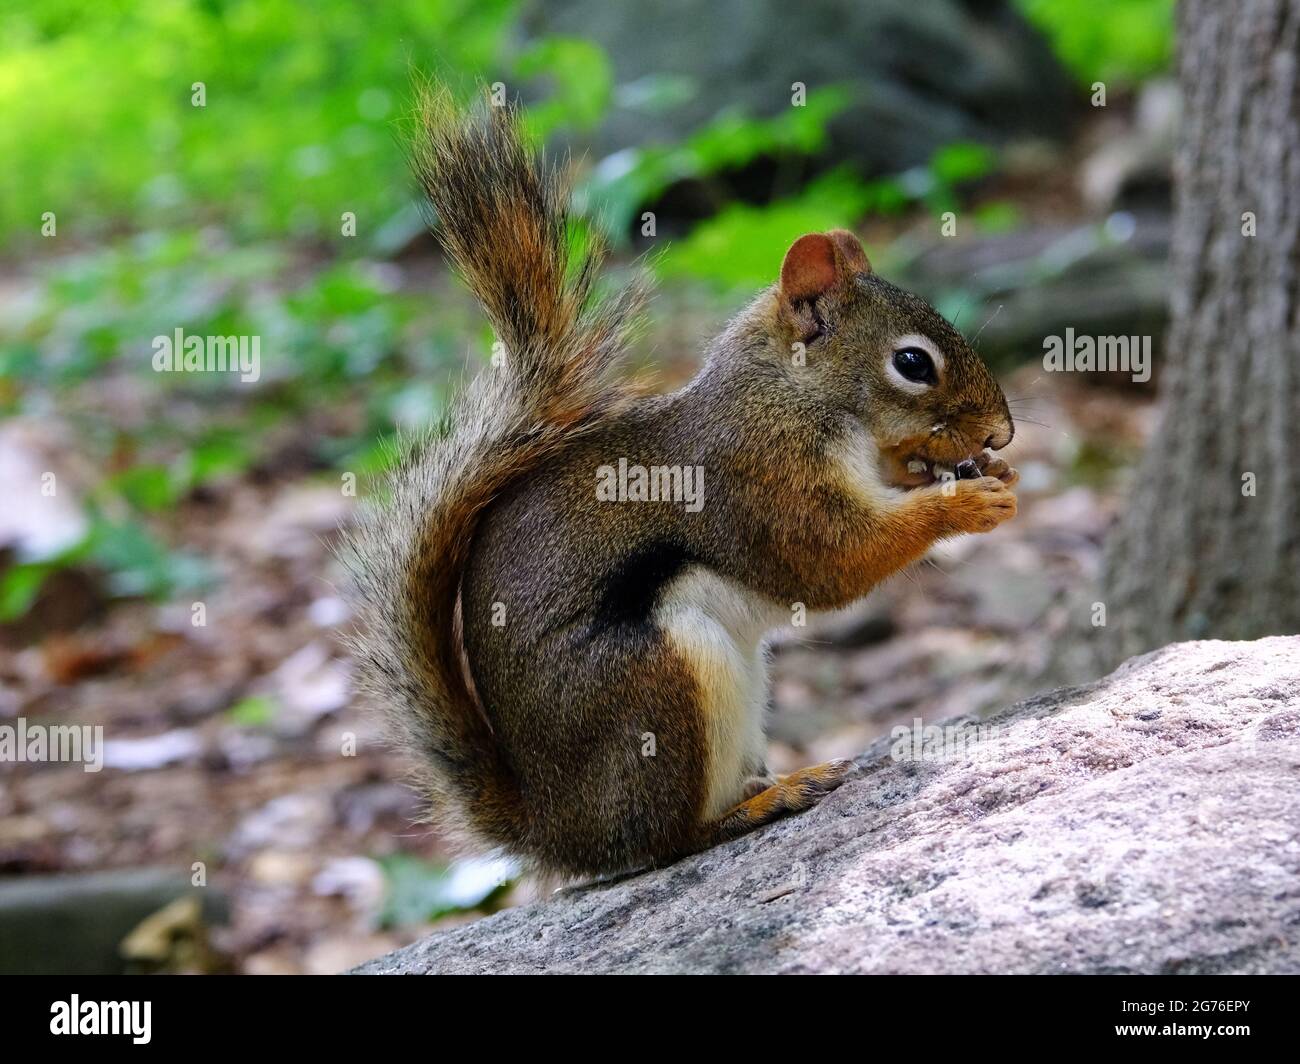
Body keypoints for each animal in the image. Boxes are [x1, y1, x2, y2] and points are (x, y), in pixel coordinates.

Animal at [344, 92, 1018, 881]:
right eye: (913, 363)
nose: (1002, 434)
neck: (793, 396)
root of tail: (561, 829)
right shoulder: (760, 478)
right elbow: (830, 561)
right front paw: (965, 502)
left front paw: (972, 474)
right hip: (657, 690)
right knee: (664, 841)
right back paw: (759, 806)